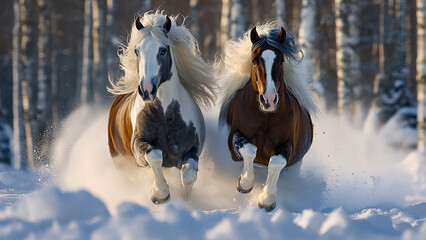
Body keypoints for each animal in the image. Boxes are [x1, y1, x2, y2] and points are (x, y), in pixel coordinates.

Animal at [220, 23, 316, 211]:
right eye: (254, 61)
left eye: (281, 60)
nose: (269, 99)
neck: (266, 118)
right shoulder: (234, 140)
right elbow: (249, 150)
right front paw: (245, 184)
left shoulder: (287, 146)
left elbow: (276, 163)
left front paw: (266, 200)